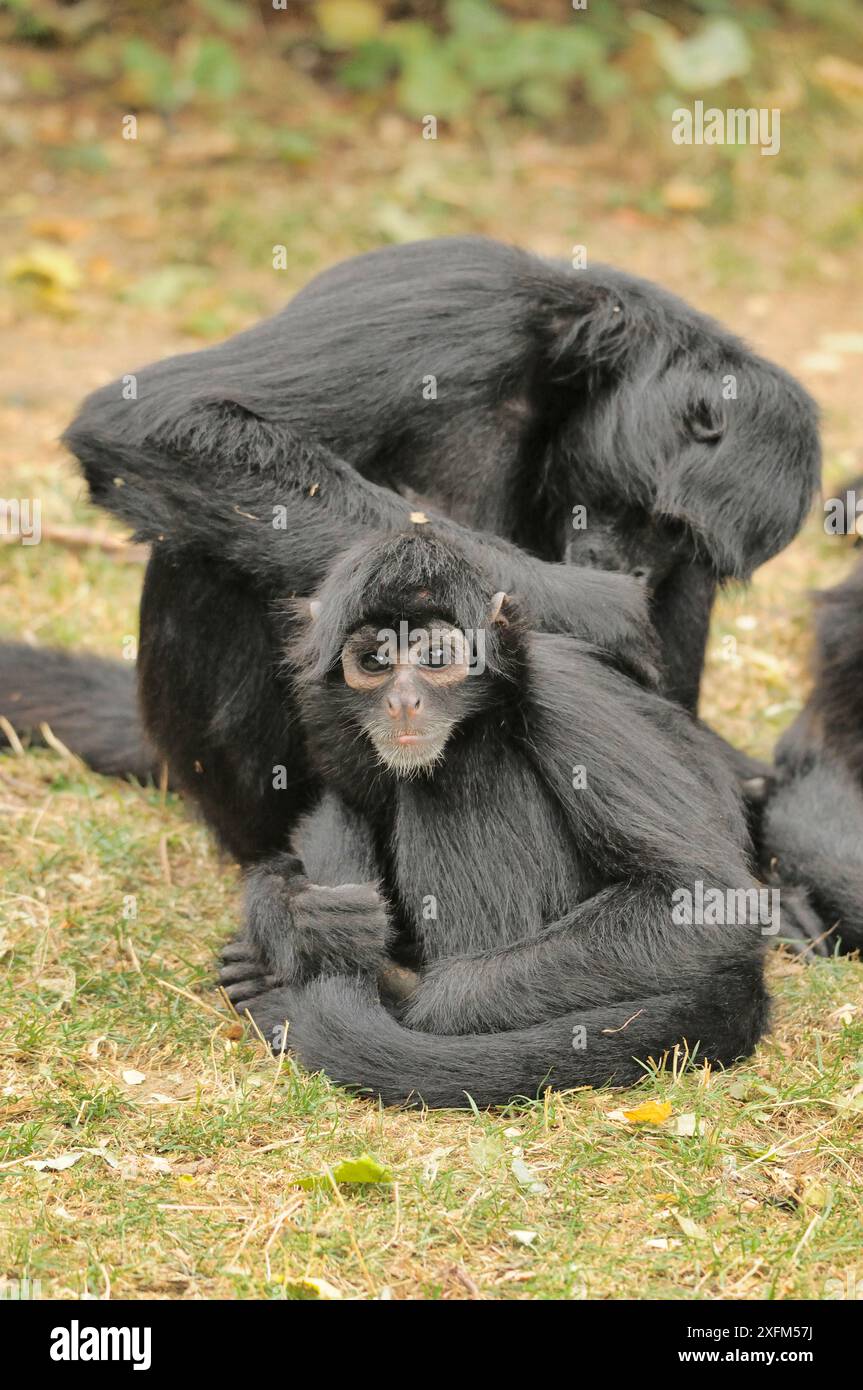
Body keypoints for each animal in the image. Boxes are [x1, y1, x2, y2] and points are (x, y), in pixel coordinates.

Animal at [220, 522, 767, 1106]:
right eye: (374, 663)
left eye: (436, 659)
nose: (403, 702)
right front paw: (300, 921)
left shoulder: (562, 692)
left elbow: (710, 902)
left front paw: (405, 993)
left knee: (459, 764)